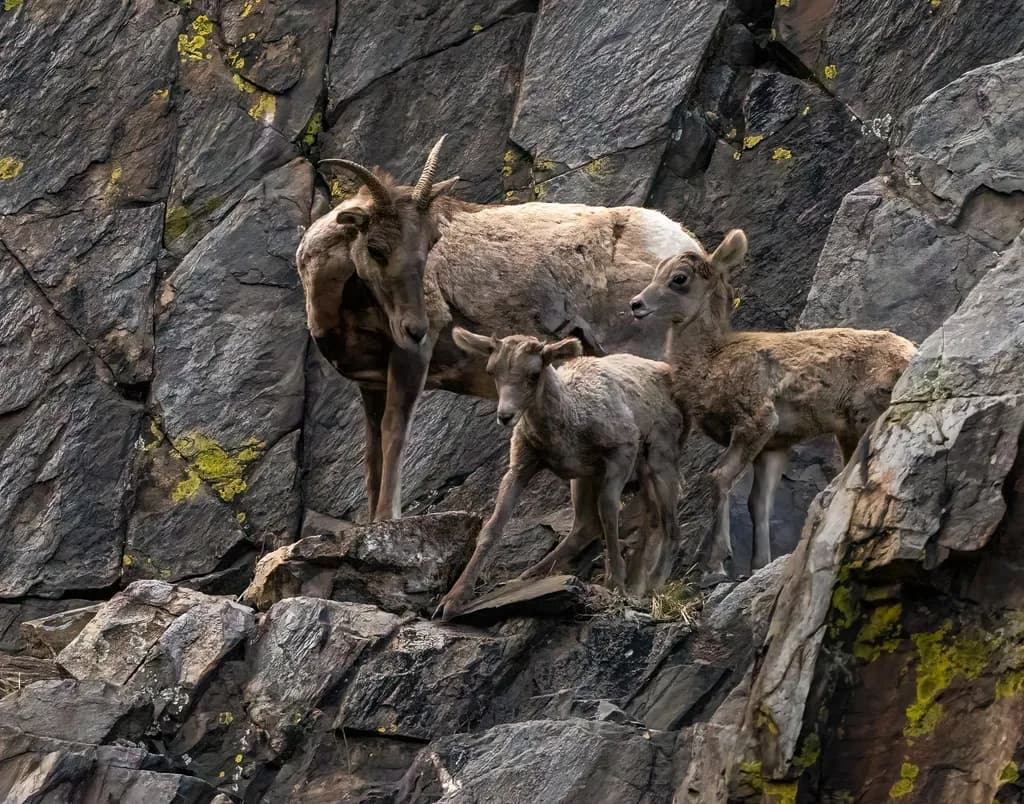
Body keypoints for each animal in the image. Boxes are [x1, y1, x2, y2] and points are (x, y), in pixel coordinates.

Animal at [298, 136, 703, 521]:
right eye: (376, 248)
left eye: (430, 244)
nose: (416, 327)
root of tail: (685, 249)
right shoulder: (371, 383)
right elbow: (372, 455)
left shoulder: (410, 359)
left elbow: (394, 432)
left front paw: (386, 519)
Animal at [432, 328, 687, 620]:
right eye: (492, 371)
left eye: (534, 374)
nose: (505, 416)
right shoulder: (522, 466)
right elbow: (493, 528)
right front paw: (452, 600)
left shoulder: (622, 451)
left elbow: (609, 513)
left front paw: (616, 582)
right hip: (587, 478)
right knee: (594, 524)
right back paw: (532, 574)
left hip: (658, 460)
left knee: (668, 524)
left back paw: (650, 584)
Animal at [629, 229, 918, 577]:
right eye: (657, 271)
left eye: (679, 278)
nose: (636, 304)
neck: (710, 360)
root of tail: (911, 356)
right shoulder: (774, 446)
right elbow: (759, 504)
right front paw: (758, 564)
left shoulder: (756, 421)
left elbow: (719, 477)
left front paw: (717, 563)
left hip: (863, 420)